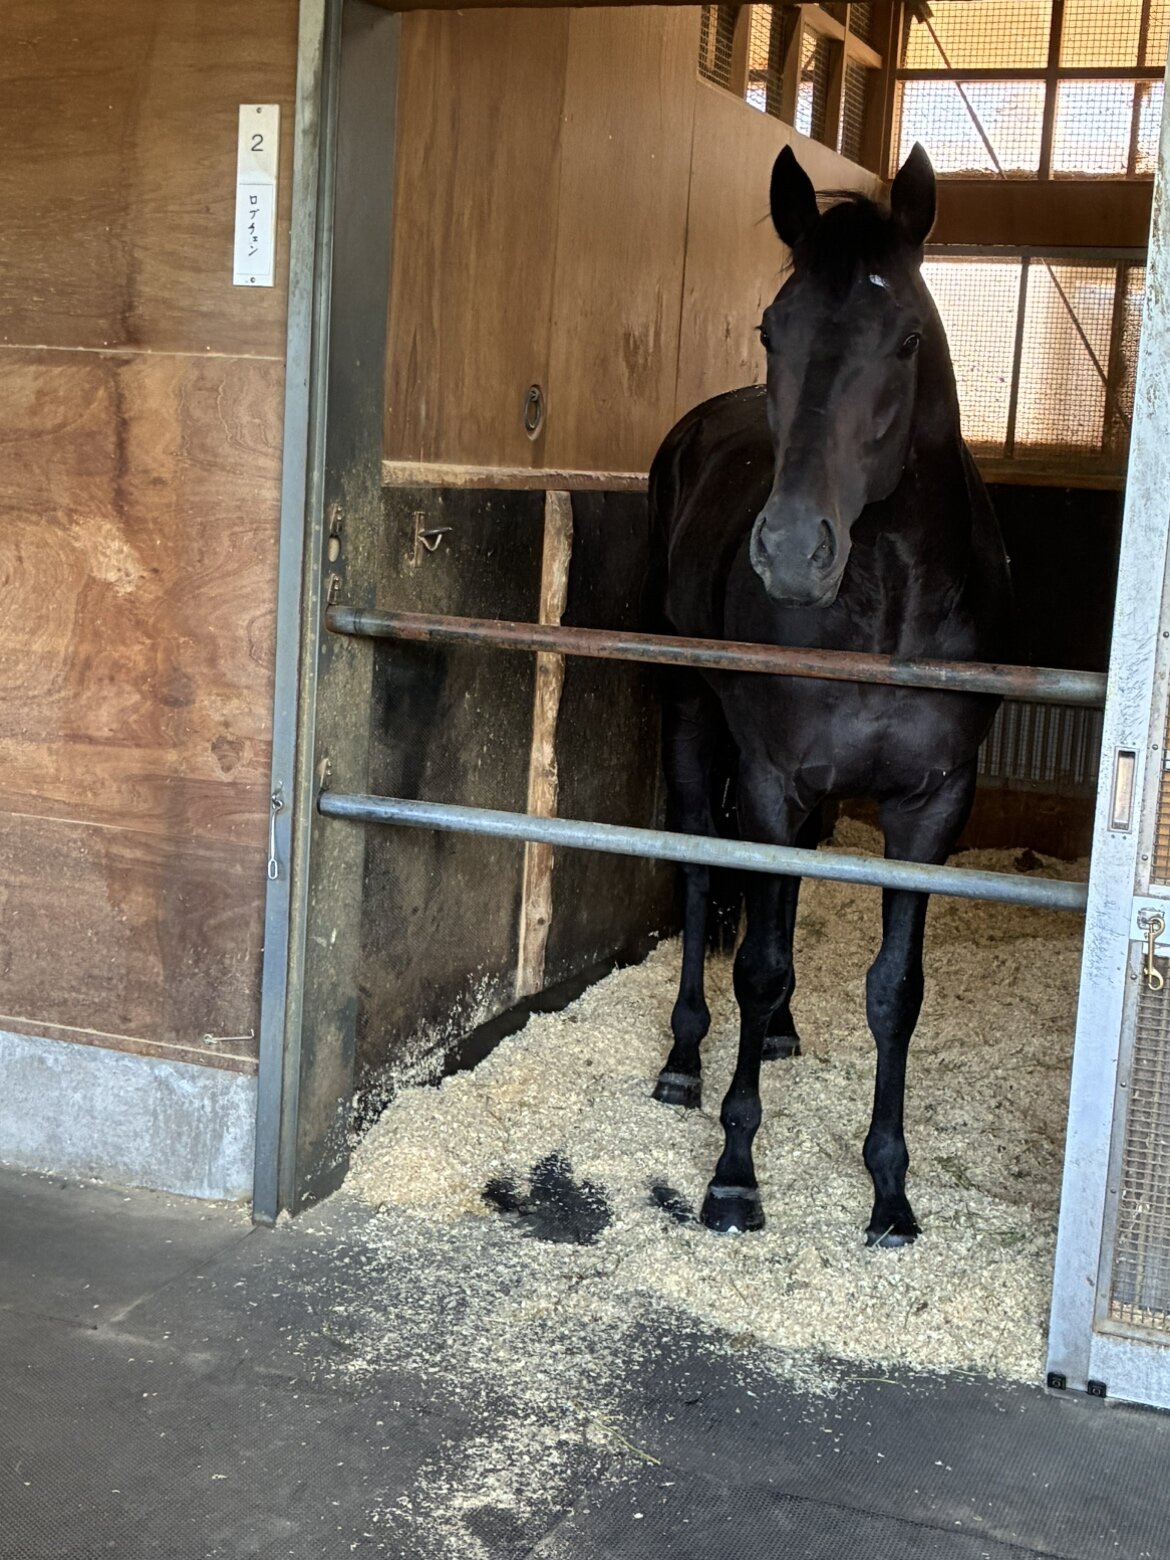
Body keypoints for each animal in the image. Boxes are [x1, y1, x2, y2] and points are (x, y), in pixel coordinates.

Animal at [647, 142, 1013, 1247]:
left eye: (907, 337)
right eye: (776, 328)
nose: (793, 551)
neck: (887, 603)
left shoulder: (932, 803)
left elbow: (897, 989)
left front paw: (891, 1192)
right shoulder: (770, 778)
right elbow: (755, 958)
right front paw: (734, 1174)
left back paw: (780, 1035)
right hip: (693, 723)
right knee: (699, 873)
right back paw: (685, 1061)